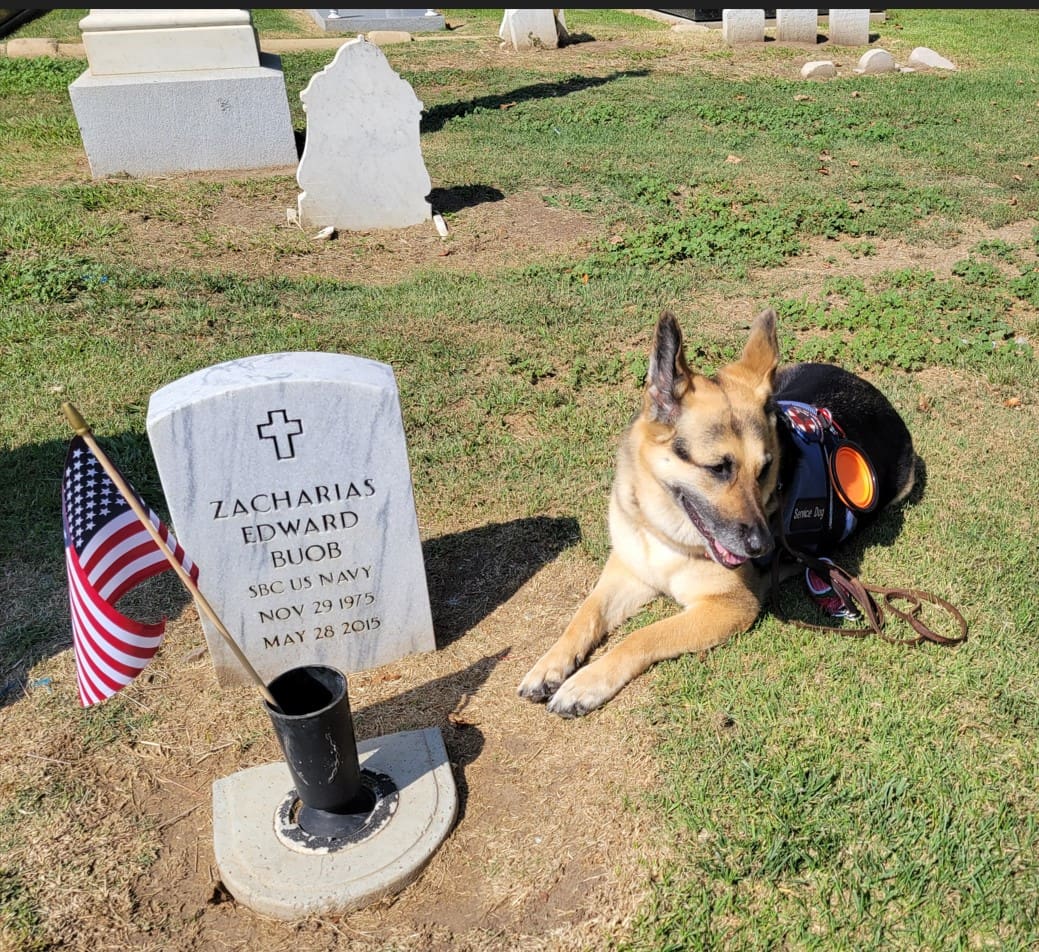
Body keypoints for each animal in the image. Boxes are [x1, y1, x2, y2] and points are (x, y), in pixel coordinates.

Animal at [515, 307, 914, 719]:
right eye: (719, 468)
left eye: (765, 469)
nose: (762, 546)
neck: (661, 528)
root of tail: (871, 391)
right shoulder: (627, 572)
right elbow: (584, 615)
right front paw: (549, 665)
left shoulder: (728, 607)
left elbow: (643, 636)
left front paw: (586, 683)